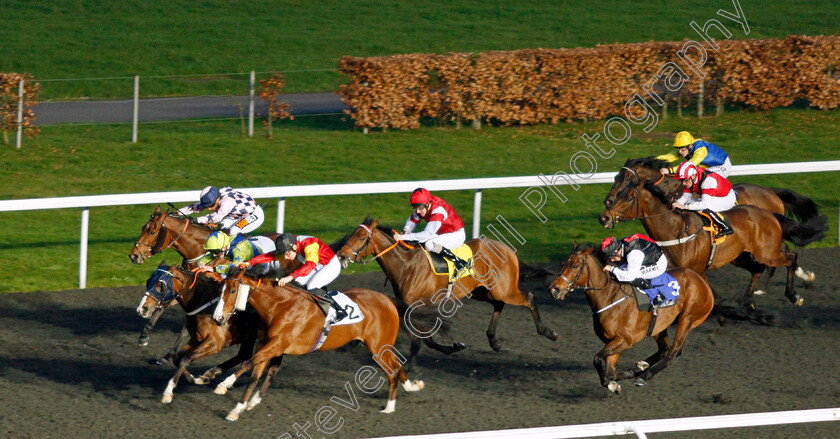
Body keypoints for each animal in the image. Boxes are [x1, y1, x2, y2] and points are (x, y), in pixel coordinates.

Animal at [136, 262, 260, 404]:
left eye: (160, 285)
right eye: (148, 281)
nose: (141, 309)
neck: (205, 304)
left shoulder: (215, 343)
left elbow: (186, 359)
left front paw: (168, 391)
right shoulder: (196, 338)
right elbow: (178, 359)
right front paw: (197, 379)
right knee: (244, 354)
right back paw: (213, 373)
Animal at [208, 268, 424, 422]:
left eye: (233, 290)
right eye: (219, 290)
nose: (217, 318)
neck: (278, 305)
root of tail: (386, 299)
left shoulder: (277, 344)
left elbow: (248, 363)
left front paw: (224, 384)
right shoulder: (267, 344)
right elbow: (255, 374)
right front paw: (237, 408)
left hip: (378, 346)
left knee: (392, 370)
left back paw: (389, 407)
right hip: (381, 346)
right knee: (397, 366)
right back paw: (412, 386)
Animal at [334, 217, 556, 364]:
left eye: (362, 237)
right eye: (352, 234)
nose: (341, 255)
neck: (406, 264)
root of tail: (507, 249)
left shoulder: (418, 306)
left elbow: (425, 337)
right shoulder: (408, 306)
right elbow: (426, 337)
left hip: (504, 290)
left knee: (529, 297)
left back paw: (547, 331)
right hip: (483, 291)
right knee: (499, 305)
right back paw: (494, 341)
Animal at [552, 246, 716, 394]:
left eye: (575, 265)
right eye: (562, 263)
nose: (554, 289)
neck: (609, 297)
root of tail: (703, 282)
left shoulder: (625, 340)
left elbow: (597, 359)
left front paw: (621, 379)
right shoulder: (612, 341)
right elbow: (610, 373)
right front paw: (620, 379)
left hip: (687, 319)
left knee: (674, 352)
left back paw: (644, 375)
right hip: (659, 325)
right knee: (664, 349)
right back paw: (641, 367)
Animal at [596, 163, 828, 314]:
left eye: (629, 195)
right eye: (616, 179)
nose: (604, 215)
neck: (675, 229)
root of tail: (769, 208)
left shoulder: (697, 270)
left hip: (766, 251)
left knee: (789, 256)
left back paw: (794, 294)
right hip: (740, 256)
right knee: (760, 267)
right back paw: (750, 300)